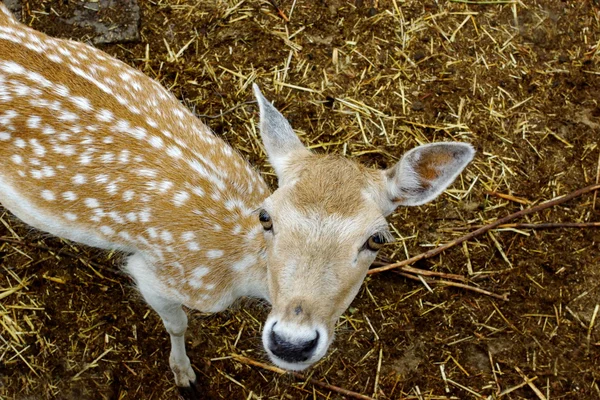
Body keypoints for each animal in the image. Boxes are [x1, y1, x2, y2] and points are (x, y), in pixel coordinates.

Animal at [0, 3, 476, 396]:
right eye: (267, 217)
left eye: (377, 239)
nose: (290, 343)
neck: (238, 271)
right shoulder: (157, 274)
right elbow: (177, 322)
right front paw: (185, 376)